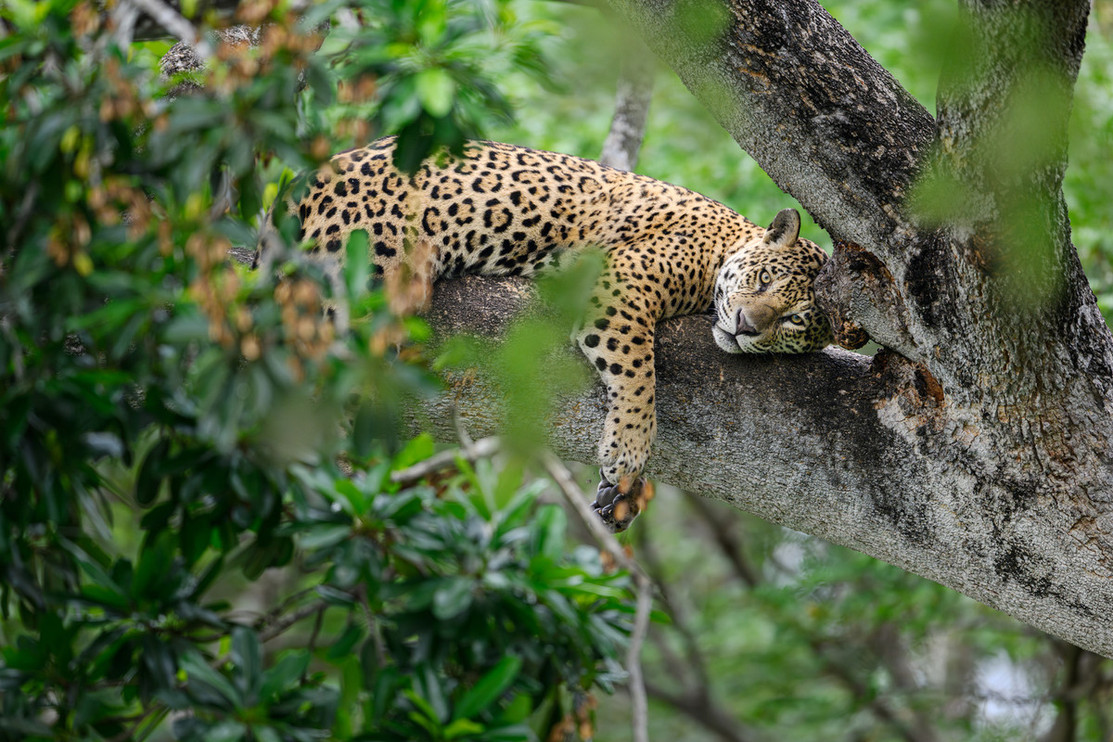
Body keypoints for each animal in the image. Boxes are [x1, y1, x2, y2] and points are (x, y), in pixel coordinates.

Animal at [256, 136, 833, 531]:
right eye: (764, 280)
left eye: (792, 320)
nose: (746, 327)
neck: (726, 241)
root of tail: (301, 185)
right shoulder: (616, 280)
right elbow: (639, 373)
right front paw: (628, 448)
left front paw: (625, 493)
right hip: (365, 287)